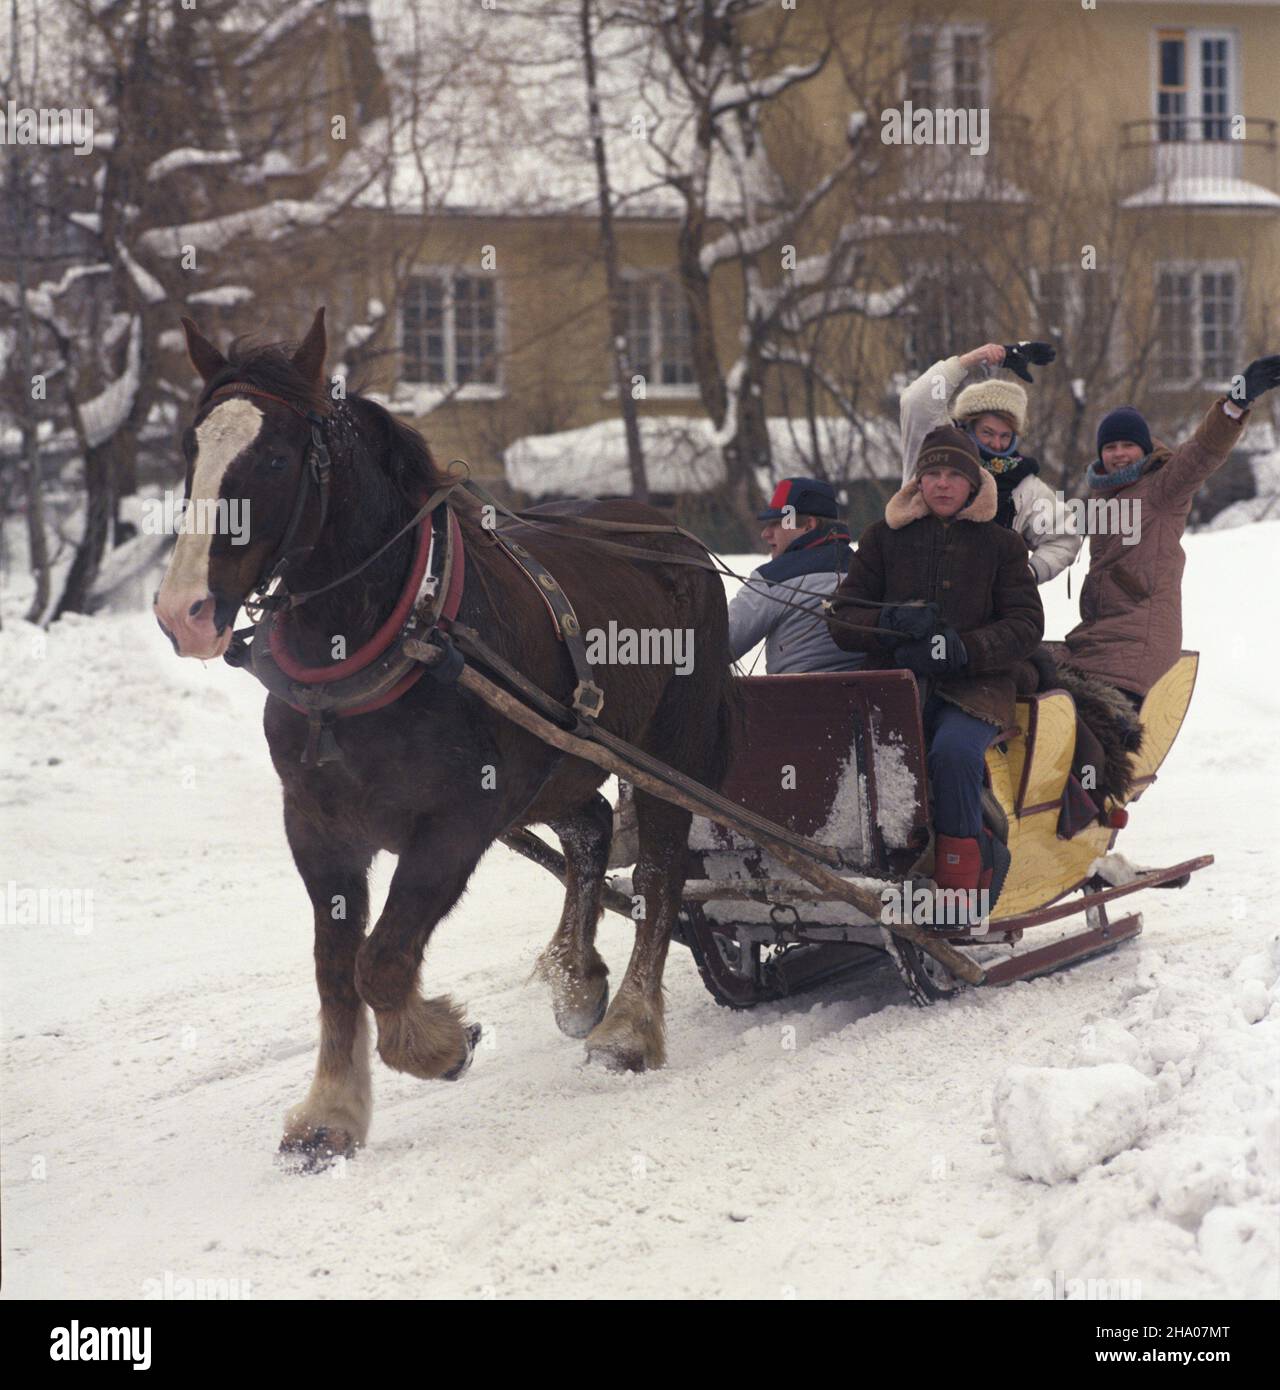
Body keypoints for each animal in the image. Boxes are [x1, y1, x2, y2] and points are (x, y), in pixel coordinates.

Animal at [154, 309, 733, 1167]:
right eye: (192, 452)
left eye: (277, 456)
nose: (183, 610)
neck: (389, 634)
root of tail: (676, 538)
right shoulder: (317, 827)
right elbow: (336, 969)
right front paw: (331, 1112)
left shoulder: (460, 819)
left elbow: (383, 961)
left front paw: (439, 1043)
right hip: (556, 764)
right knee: (592, 827)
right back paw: (576, 977)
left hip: (668, 752)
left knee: (660, 872)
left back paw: (629, 1026)